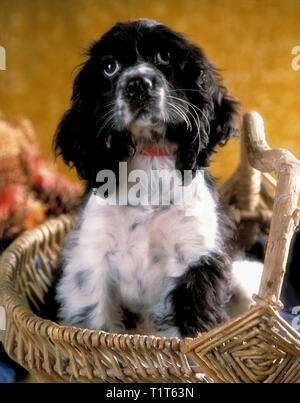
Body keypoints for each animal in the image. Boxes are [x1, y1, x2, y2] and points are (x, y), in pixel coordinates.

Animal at [53, 19, 246, 340]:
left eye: (164, 56)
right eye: (109, 66)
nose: (137, 84)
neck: (150, 157)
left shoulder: (198, 259)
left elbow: (197, 326)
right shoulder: (91, 257)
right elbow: (96, 322)